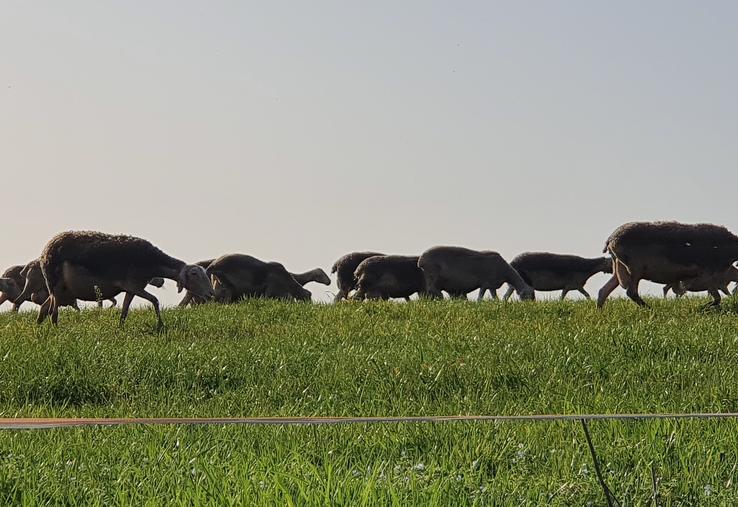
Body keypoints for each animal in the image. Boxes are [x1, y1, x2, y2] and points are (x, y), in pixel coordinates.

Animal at [37, 231, 213, 327]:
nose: (211, 294)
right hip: (55, 285)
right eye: (195, 274)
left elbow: (125, 311)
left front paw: (120, 328)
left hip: (59, 289)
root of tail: (46, 250)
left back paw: (39, 330)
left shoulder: (131, 288)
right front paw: (160, 325)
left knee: (45, 308)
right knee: (53, 312)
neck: (152, 261)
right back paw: (55, 329)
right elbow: (155, 300)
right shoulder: (134, 285)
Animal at [597, 221, 738, 308]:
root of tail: (610, 240)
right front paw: (702, 308)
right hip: (634, 268)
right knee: (631, 292)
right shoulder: (708, 274)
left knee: (603, 290)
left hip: (619, 267)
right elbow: (717, 298)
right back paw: (650, 309)